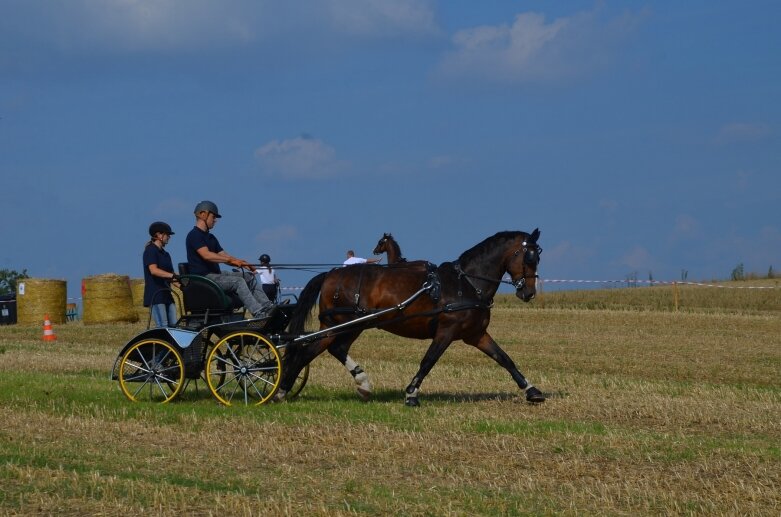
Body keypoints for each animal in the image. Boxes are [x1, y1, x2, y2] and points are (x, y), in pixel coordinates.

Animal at [284, 228, 544, 406]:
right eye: (528, 257)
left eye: (537, 257)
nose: (529, 292)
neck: (467, 283)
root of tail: (331, 274)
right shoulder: (446, 331)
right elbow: (428, 361)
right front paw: (411, 394)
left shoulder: (476, 334)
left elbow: (504, 358)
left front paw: (532, 391)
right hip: (339, 324)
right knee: (309, 352)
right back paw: (282, 389)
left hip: (352, 326)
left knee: (335, 349)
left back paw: (363, 384)